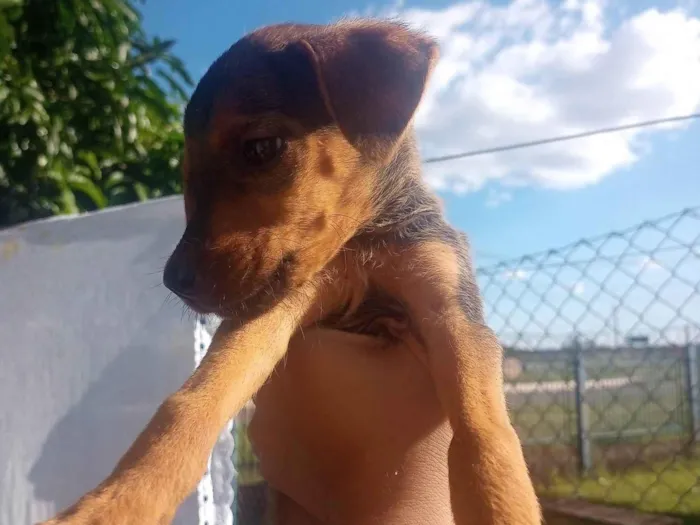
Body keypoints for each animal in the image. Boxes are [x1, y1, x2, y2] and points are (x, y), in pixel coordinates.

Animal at [39, 18, 540, 520]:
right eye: (186, 177)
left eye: (261, 148)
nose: (173, 280)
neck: (358, 247)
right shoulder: (273, 308)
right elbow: (193, 401)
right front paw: (113, 505)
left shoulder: (450, 307)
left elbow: (483, 430)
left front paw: (503, 508)